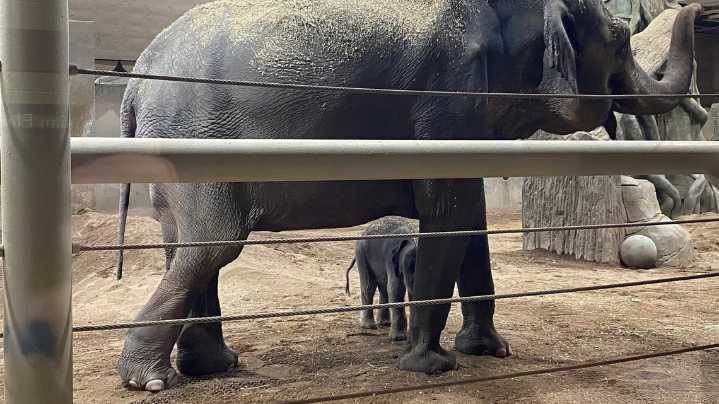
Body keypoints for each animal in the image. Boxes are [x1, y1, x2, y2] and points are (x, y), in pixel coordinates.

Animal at [115, 0, 702, 391]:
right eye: (621, 38)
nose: (696, 10)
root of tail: (135, 81)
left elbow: (471, 217)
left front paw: (490, 352)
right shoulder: (448, 100)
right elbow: (450, 211)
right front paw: (432, 365)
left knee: (184, 247)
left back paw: (212, 367)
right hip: (195, 144)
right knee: (213, 246)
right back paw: (150, 381)